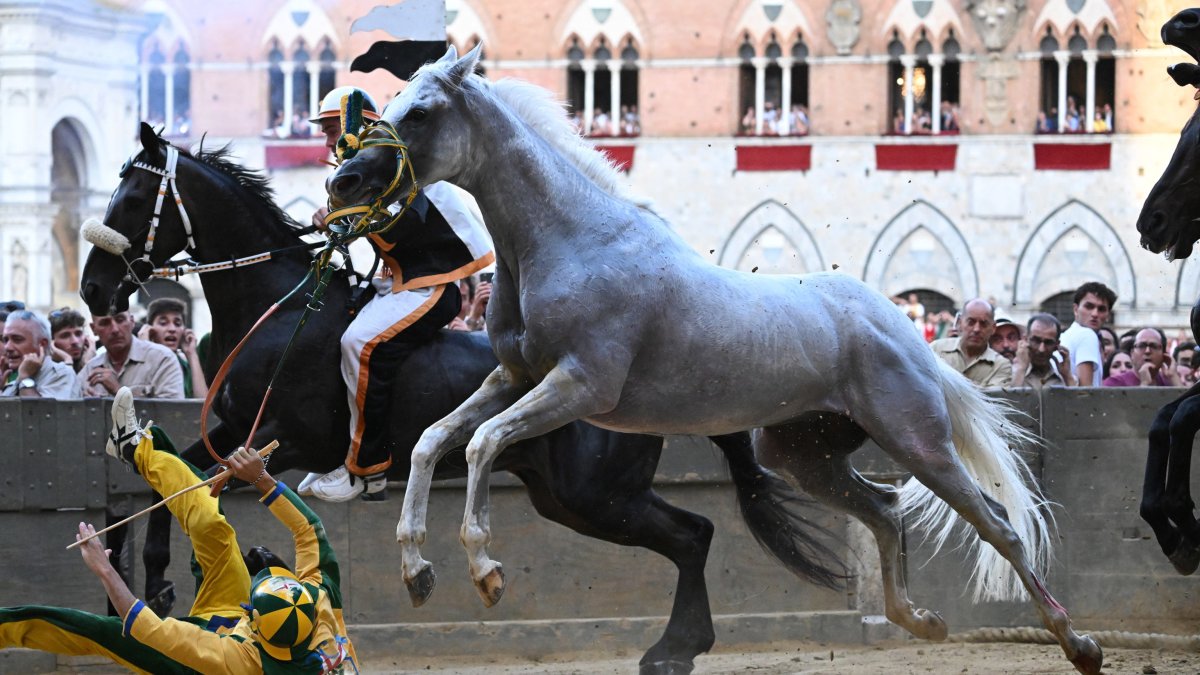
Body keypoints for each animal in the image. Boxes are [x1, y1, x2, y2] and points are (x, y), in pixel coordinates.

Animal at [78, 122, 850, 675]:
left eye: (133, 198)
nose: (92, 290)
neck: (282, 306)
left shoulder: (278, 441)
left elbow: (191, 489)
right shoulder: (233, 426)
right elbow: (165, 485)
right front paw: (149, 564)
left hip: (597, 494)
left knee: (695, 534)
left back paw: (672, 651)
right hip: (570, 498)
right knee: (693, 534)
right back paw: (676, 648)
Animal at [326, 45, 1103, 674]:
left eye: (421, 112)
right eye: (386, 107)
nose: (345, 183)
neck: (573, 242)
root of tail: (900, 327)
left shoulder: (578, 386)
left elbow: (482, 444)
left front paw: (486, 570)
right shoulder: (512, 378)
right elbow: (432, 441)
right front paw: (417, 572)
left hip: (917, 439)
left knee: (997, 525)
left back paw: (1079, 643)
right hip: (803, 453)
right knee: (884, 510)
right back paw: (921, 620)